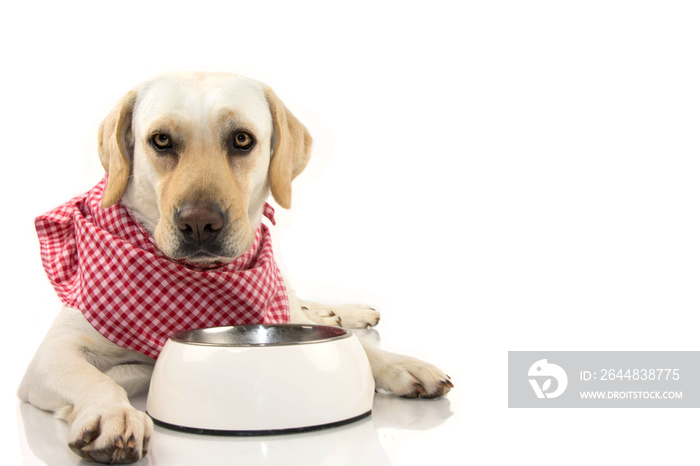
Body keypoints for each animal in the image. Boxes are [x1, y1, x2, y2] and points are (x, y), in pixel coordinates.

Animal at [19, 73, 454, 462]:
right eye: (161, 140)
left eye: (242, 139)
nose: (199, 224)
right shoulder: (53, 353)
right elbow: (95, 377)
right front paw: (114, 413)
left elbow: (363, 350)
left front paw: (402, 364)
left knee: (301, 301)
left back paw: (343, 311)